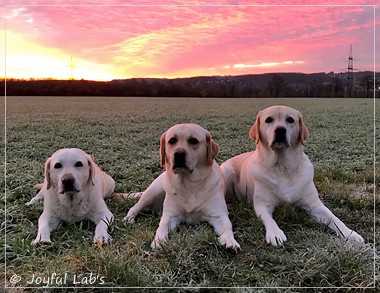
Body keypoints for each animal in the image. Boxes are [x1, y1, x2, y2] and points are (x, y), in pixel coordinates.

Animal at [127, 122, 240, 250]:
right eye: (172, 141)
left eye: (193, 141)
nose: (179, 154)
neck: (188, 184)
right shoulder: (170, 215)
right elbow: (162, 225)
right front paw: (158, 240)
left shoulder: (218, 215)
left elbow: (227, 226)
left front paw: (229, 240)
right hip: (153, 191)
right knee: (135, 207)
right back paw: (128, 219)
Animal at [221, 105, 364, 244]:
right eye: (268, 120)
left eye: (290, 120)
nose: (280, 130)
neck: (282, 167)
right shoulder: (262, 204)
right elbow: (269, 219)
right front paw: (275, 233)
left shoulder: (314, 204)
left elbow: (334, 219)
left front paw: (350, 233)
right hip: (227, 172)